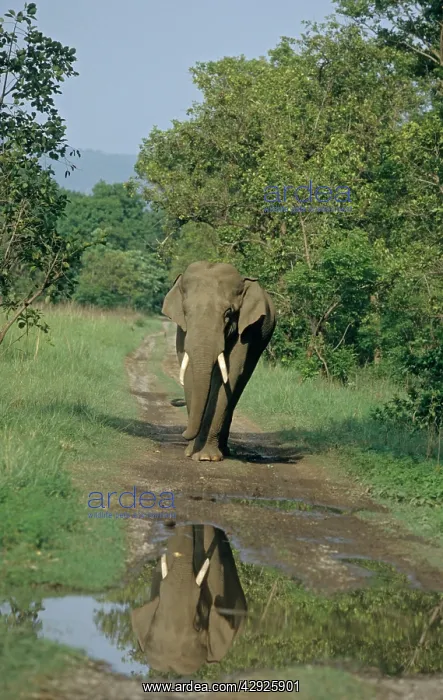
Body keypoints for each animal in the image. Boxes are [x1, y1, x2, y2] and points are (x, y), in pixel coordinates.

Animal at [162, 261, 276, 461]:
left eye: (228, 313)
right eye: (185, 311)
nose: (183, 433)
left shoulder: (246, 330)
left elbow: (230, 374)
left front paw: (206, 457)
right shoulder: (182, 331)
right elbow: (190, 373)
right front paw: (192, 452)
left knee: (239, 384)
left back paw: (224, 450)